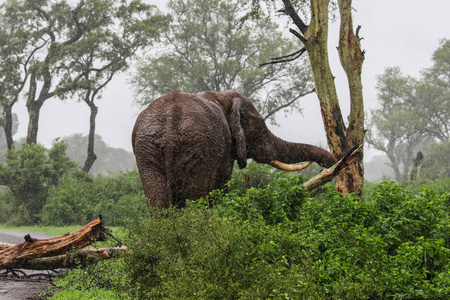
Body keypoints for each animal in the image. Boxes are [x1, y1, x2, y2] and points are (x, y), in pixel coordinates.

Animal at [132, 89, 336, 209]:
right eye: (260, 126)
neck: (223, 96)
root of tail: (170, 126)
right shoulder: (223, 149)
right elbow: (222, 185)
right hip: (199, 149)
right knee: (195, 198)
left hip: (147, 151)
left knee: (158, 204)